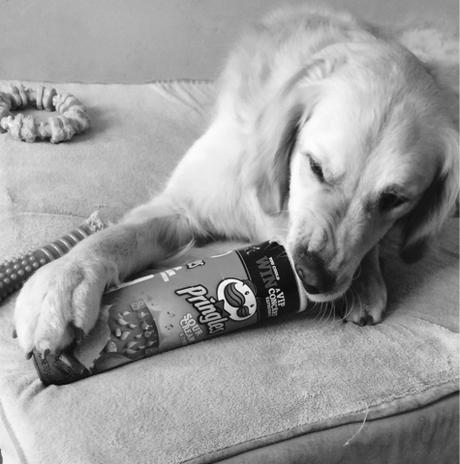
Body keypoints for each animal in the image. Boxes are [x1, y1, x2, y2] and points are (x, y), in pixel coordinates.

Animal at [12, 4, 458, 356]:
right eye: (314, 166)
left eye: (394, 200)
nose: (312, 277)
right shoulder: (183, 206)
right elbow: (113, 237)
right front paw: (63, 283)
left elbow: (371, 248)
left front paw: (366, 280)